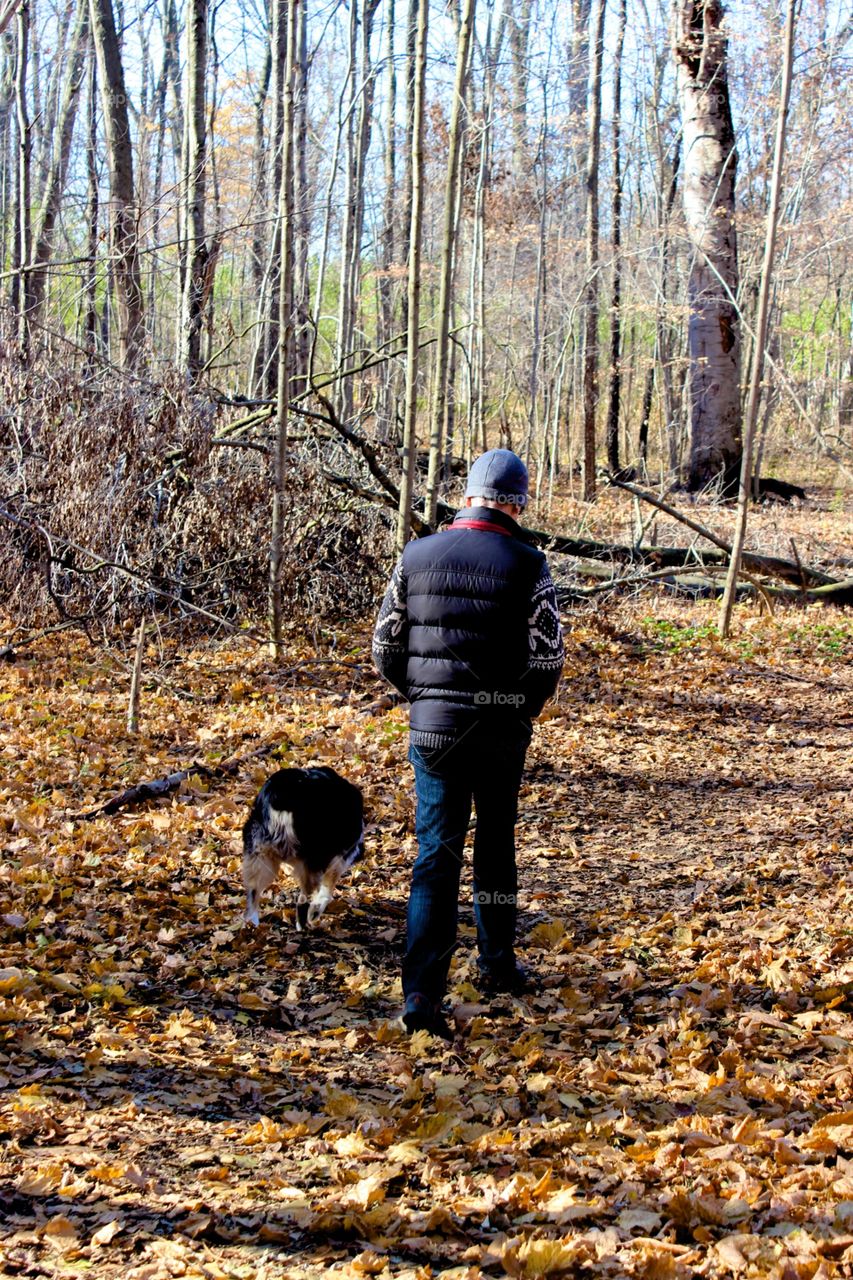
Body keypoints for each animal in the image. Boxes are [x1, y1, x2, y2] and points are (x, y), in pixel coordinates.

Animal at [239, 762, 361, 926]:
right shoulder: (341, 856)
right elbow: (326, 889)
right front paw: (315, 912)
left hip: (259, 856)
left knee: (252, 899)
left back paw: (252, 925)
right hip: (312, 860)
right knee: (303, 900)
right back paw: (305, 924)